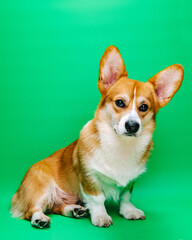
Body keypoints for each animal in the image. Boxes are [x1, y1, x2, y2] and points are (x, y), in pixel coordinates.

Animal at [10, 46, 184, 228]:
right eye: (120, 102)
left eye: (144, 107)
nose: (132, 126)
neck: (121, 145)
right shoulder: (89, 178)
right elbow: (97, 199)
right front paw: (101, 216)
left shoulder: (130, 182)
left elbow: (125, 197)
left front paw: (129, 211)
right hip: (42, 189)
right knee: (32, 210)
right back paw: (40, 219)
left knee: (57, 207)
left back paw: (75, 210)